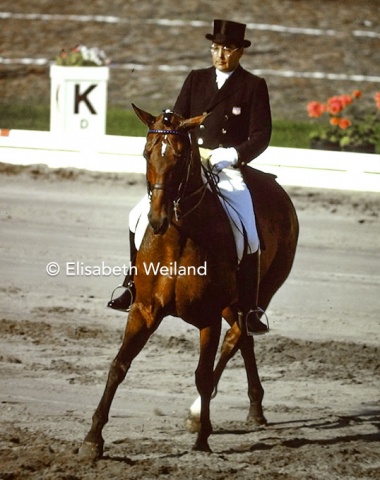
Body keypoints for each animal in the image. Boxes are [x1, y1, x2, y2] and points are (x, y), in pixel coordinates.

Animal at [79, 106, 300, 462]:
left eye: (181, 157)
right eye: (146, 153)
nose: (157, 220)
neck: (178, 237)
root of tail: (273, 184)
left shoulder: (207, 318)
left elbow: (203, 375)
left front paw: (202, 439)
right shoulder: (143, 311)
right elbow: (118, 365)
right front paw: (93, 439)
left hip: (262, 291)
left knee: (237, 337)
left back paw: (200, 414)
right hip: (232, 304)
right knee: (243, 339)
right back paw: (254, 409)